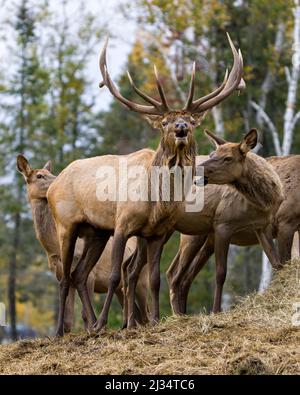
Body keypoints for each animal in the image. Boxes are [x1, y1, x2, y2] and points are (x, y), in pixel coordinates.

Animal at [16, 155, 149, 332]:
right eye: (39, 176)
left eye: (50, 172)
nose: (57, 182)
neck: (53, 248)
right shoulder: (61, 275)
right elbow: (69, 320)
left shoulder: (92, 276)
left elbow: (84, 314)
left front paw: (93, 327)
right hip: (121, 289)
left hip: (143, 280)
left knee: (146, 312)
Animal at [47, 34, 244, 338]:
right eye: (163, 121)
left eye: (191, 120)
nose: (180, 128)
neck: (157, 201)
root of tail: (52, 186)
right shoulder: (122, 224)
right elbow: (115, 276)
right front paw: (106, 323)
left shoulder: (156, 234)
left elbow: (153, 278)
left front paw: (153, 320)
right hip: (66, 224)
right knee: (65, 276)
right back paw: (61, 331)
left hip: (96, 232)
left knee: (80, 273)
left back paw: (91, 324)